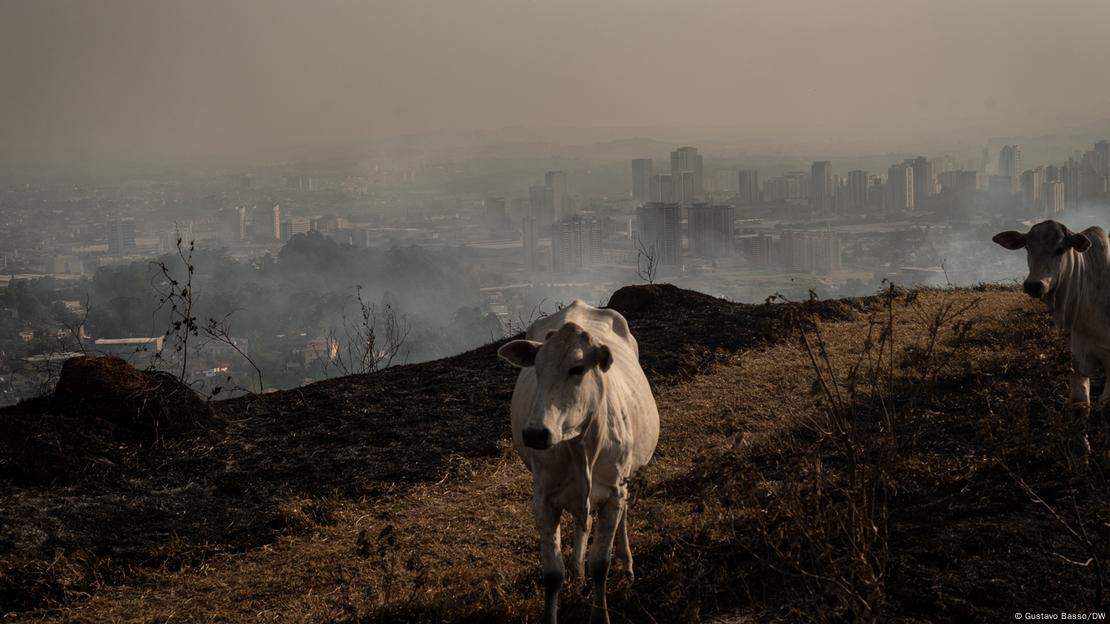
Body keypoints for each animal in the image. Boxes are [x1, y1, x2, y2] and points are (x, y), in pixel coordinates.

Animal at [495, 299, 657, 617]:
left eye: (578, 368)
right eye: (537, 368)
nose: (535, 433)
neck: (581, 446)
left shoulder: (613, 491)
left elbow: (600, 565)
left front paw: (600, 613)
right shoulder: (544, 498)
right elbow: (552, 574)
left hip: (624, 480)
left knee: (621, 516)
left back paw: (626, 564)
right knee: (584, 522)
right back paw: (576, 568)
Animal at [994, 217, 1105, 461]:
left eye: (1060, 249)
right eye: (1027, 247)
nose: (1034, 285)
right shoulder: (1079, 353)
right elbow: (1080, 403)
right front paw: (1081, 453)